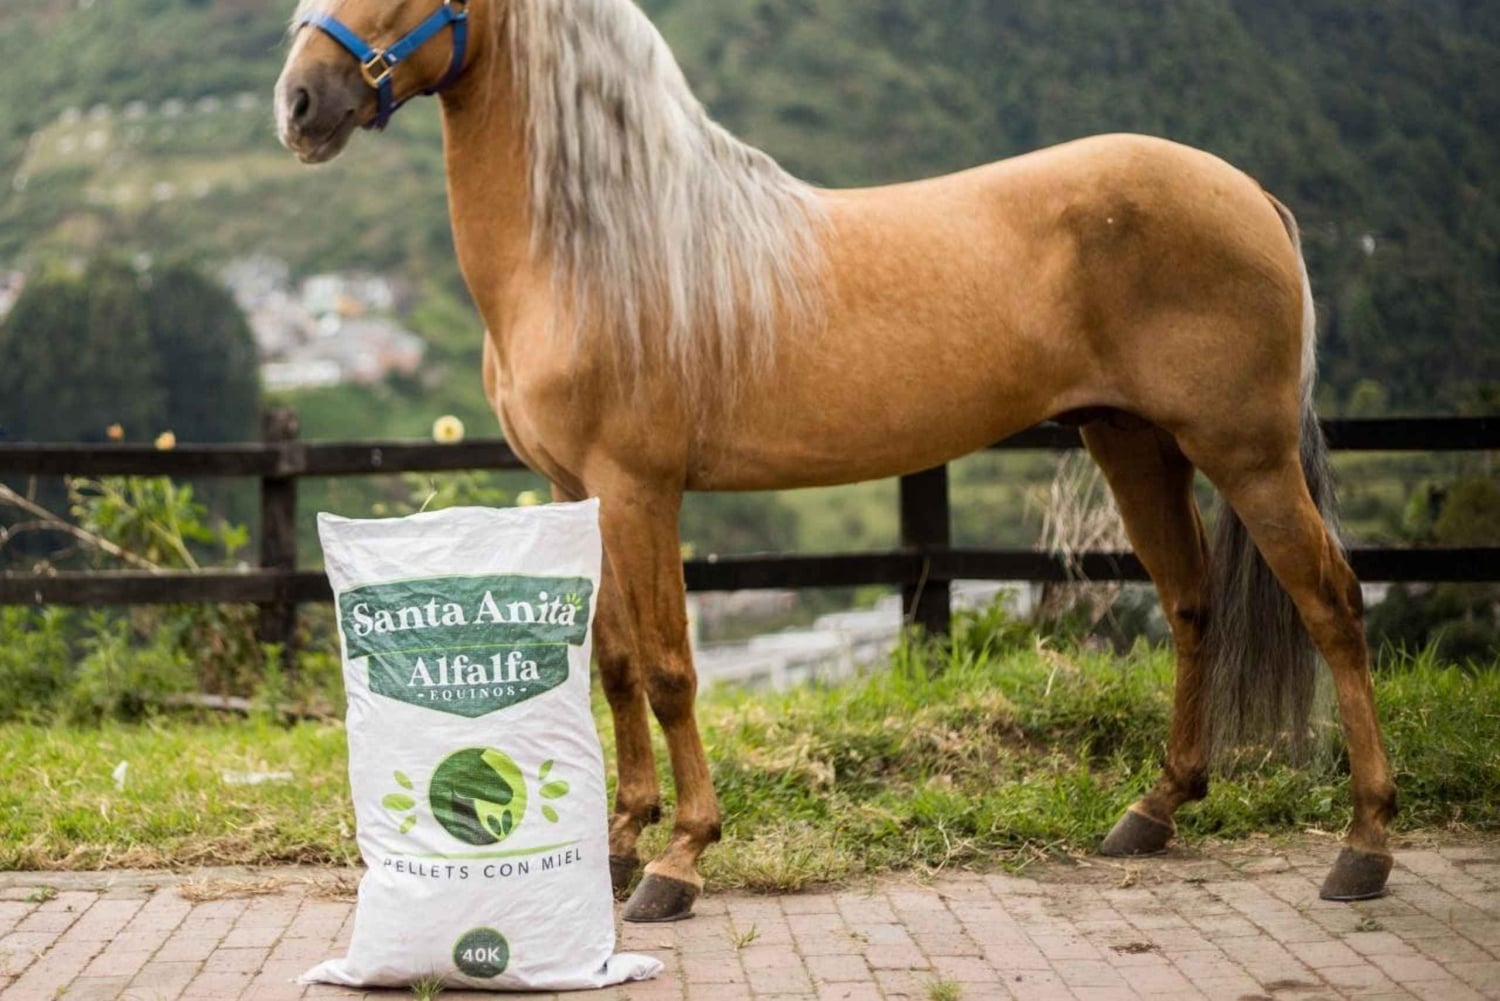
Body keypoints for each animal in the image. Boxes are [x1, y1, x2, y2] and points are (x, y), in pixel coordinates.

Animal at [275, 0, 1397, 922]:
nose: (299, 102)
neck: (599, 247)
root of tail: (1250, 194)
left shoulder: (640, 490)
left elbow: (673, 671)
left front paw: (678, 860)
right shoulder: (574, 489)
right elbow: (617, 665)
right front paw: (623, 838)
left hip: (1245, 452)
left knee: (1332, 602)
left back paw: (1364, 845)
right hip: (1130, 440)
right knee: (1192, 605)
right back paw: (1155, 809)